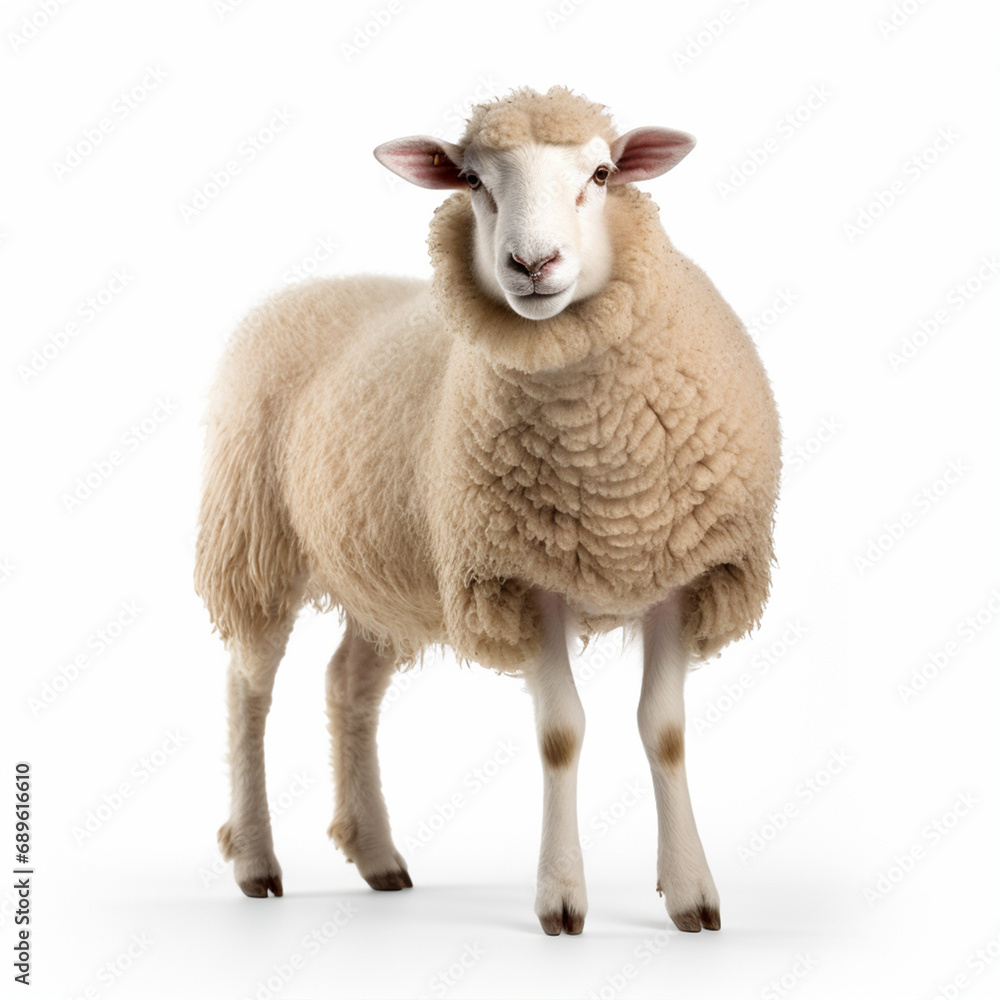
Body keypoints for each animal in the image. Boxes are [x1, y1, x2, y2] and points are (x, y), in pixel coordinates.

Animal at [194, 85, 781, 936]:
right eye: (472, 180)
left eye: (602, 174)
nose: (533, 265)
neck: (606, 469)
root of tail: (302, 293)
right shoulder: (517, 576)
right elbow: (562, 734)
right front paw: (561, 900)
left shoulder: (681, 570)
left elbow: (664, 733)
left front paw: (690, 894)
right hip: (256, 540)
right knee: (250, 687)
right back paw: (254, 859)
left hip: (386, 566)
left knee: (348, 684)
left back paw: (377, 855)